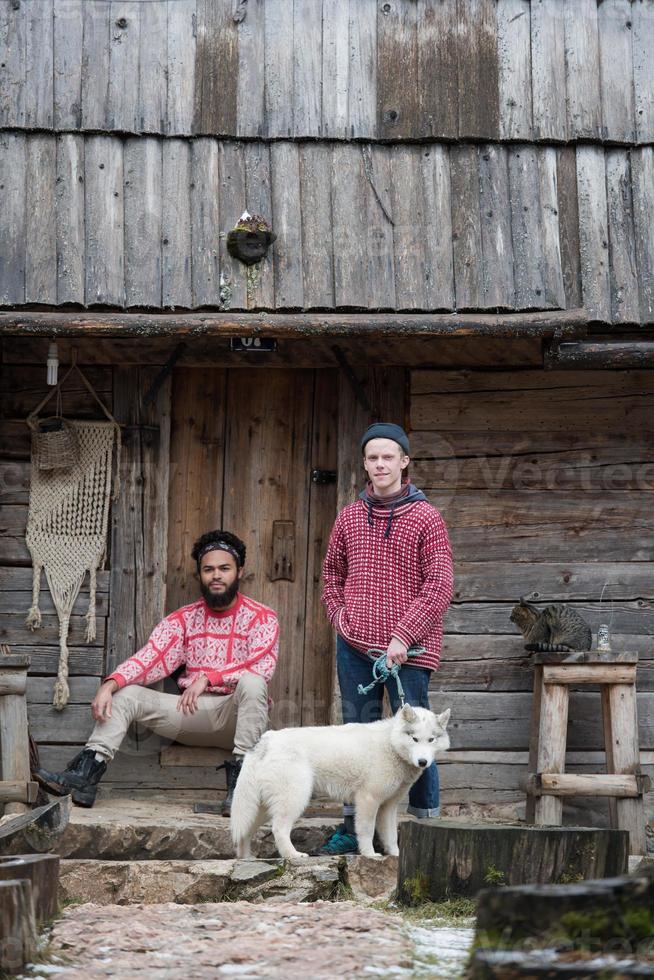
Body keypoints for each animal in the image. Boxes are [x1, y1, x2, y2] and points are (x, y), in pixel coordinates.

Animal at [231, 704, 452, 856]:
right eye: (414, 739)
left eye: (431, 740)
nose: (423, 762)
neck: (391, 744)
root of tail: (265, 740)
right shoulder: (368, 800)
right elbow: (366, 831)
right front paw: (370, 855)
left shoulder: (388, 807)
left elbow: (390, 836)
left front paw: (396, 856)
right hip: (294, 800)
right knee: (279, 829)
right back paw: (293, 855)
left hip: (260, 807)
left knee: (245, 832)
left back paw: (246, 858)